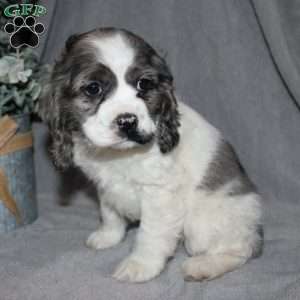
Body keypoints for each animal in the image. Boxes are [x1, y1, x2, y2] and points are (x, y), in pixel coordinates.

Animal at [39, 27, 262, 282]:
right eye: (93, 88)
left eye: (144, 84)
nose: (127, 121)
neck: (120, 155)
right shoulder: (105, 186)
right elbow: (109, 212)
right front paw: (108, 236)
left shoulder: (160, 194)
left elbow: (150, 234)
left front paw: (140, 265)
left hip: (202, 224)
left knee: (241, 249)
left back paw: (203, 266)